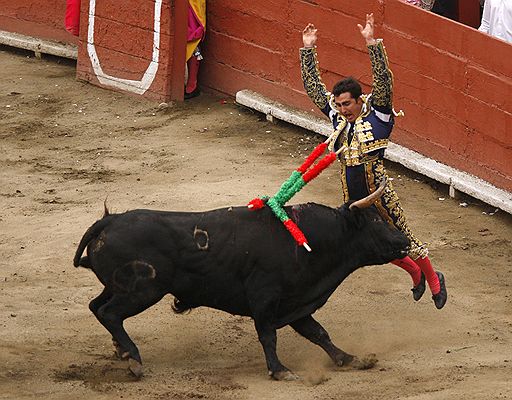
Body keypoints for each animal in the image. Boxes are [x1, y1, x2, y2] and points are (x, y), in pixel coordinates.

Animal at [73, 198, 408, 380]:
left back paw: (122, 351)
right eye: (377, 221)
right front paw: (280, 370)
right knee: (110, 313)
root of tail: (109, 221)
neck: (308, 240)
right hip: (144, 290)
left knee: (96, 307)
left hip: (119, 287)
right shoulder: (266, 299)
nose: (405, 241)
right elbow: (268, 335)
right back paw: (134, 359)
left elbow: (319, 333)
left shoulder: (296, 301)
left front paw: (350, 359)